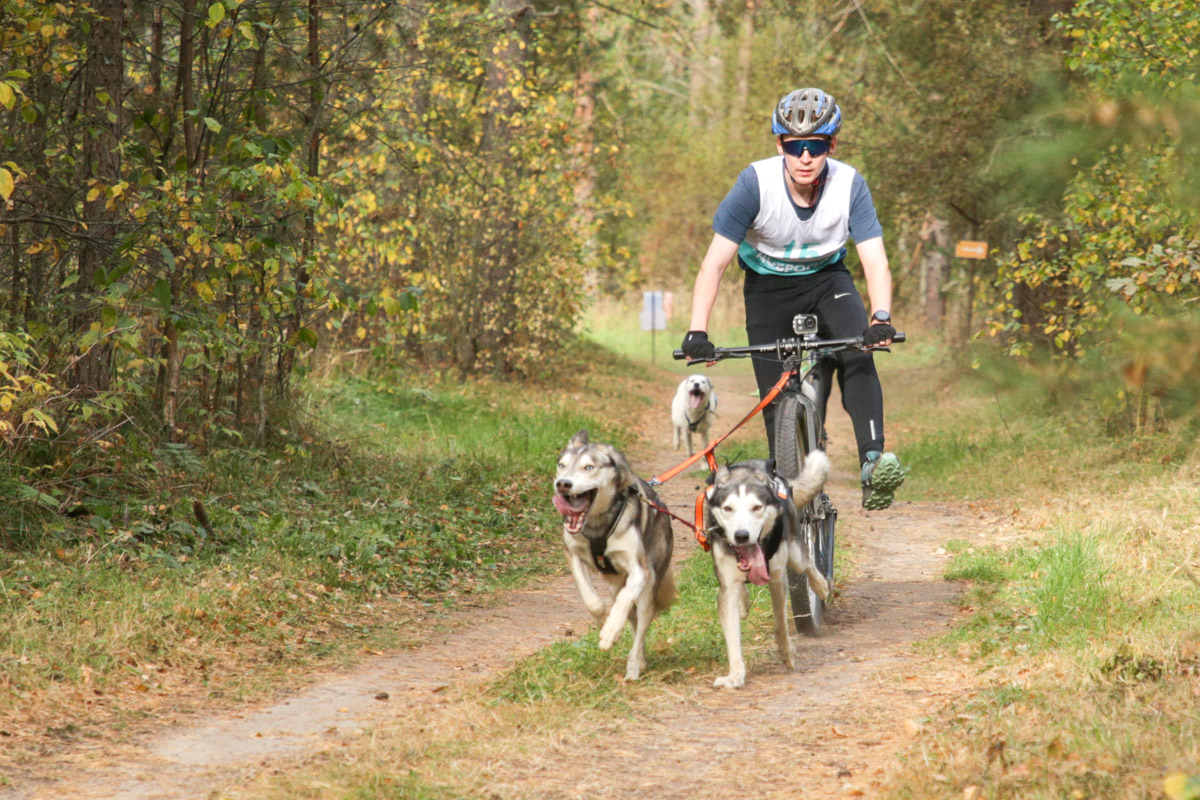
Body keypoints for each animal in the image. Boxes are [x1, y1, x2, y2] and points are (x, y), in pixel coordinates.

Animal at [552, 429, 676, 681]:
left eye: (589, 467)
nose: (563, 484)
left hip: (649, 587)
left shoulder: (639, 570)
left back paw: (633, 667)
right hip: (614, 585)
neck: (597, 525)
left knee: (640, 624)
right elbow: (592, 601)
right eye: (562, 465)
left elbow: (625, 599)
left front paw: (610, 631)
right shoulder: (573, 555)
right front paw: (603, 622)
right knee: (633, 621)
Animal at [705, 453, 830, 690]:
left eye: (756, 508)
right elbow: (732, 638)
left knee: (807, 563)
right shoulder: (727, 585)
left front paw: (787, 653)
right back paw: (743, 603)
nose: (741, 535)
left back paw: (820, 585)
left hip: (795, 552)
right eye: (728, 509)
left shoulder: (777, 578)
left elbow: (781, 623)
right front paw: (735, 675)